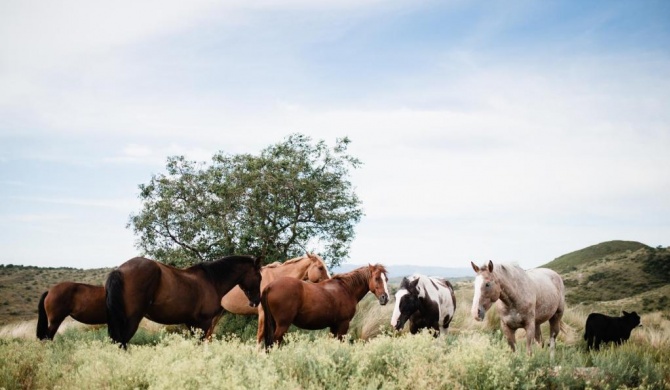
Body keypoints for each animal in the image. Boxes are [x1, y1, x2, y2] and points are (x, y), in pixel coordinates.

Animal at [106, 254, 262, 348]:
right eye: (259, 277)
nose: (256, 301)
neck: (212, 280)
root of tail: (119, 270)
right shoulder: (204, 323)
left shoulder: (192, 324)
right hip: (131, 321)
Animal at [262, 264, 392, 348]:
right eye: (376, 278)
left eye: (386, 279)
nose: (385, 298)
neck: (346, 289)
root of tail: (270, 286)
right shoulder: (343, 324)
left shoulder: (334, 326)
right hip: (283, 325)